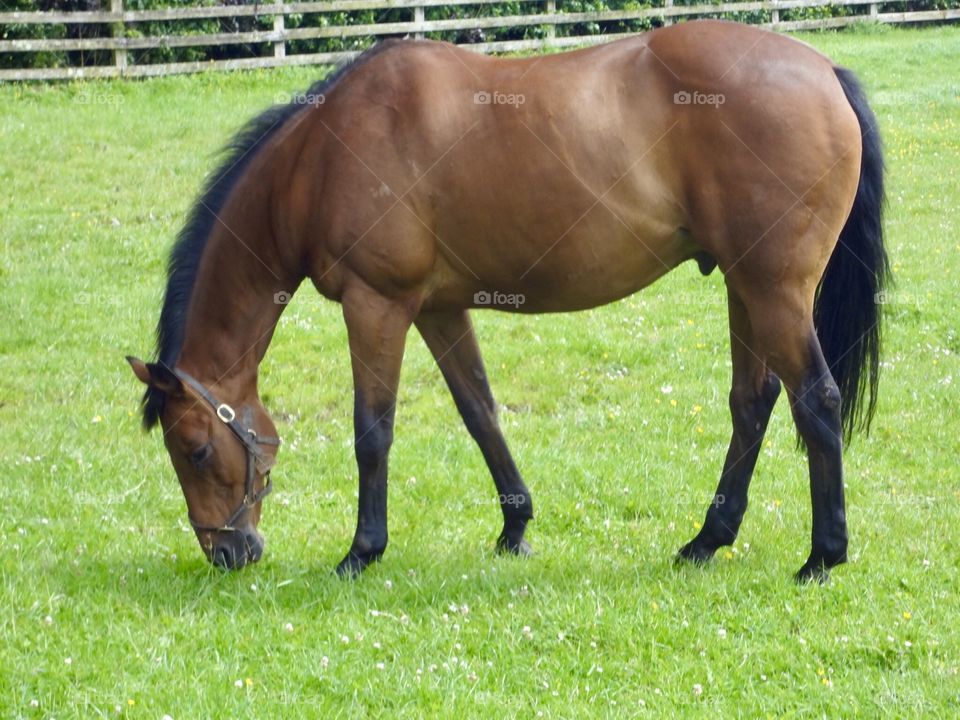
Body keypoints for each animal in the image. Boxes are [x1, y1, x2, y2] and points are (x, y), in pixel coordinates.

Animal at [125, 19, 884, 584]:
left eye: (195, 449)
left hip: (774, 290)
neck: (322, 156)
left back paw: (822, 556)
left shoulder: (377, 305)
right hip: (744, 285)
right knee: (752, 403)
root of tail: (825, 71)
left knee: (814, 399)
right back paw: (707, 540)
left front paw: (362, 551)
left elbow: (373, 431)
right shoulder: (437, 309)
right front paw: (515, 526)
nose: (227, 553)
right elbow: (480, 413)